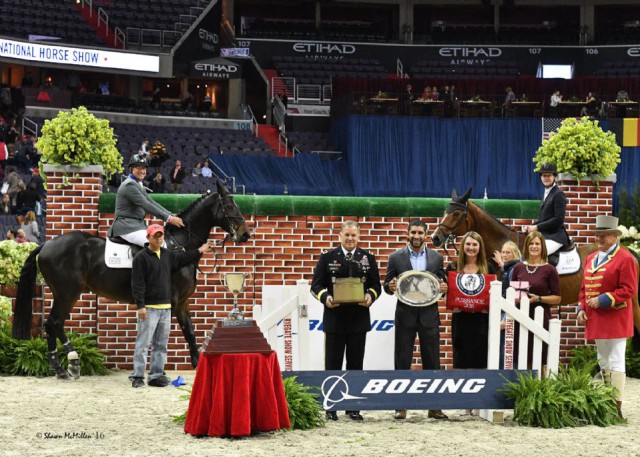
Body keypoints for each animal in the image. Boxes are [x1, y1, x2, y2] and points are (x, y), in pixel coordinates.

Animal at [13, 180, 250, 380]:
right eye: (230, 206)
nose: (245, 235)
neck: (181, 248)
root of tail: (47, 244)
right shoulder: (171, 302)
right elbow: (161, 335)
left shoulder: (182, 302)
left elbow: (190, 332)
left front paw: (196, 364)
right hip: (68, 292)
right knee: (55, 322)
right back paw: (71, 362)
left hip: (63, 292)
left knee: (52, 324)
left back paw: (59, 368)